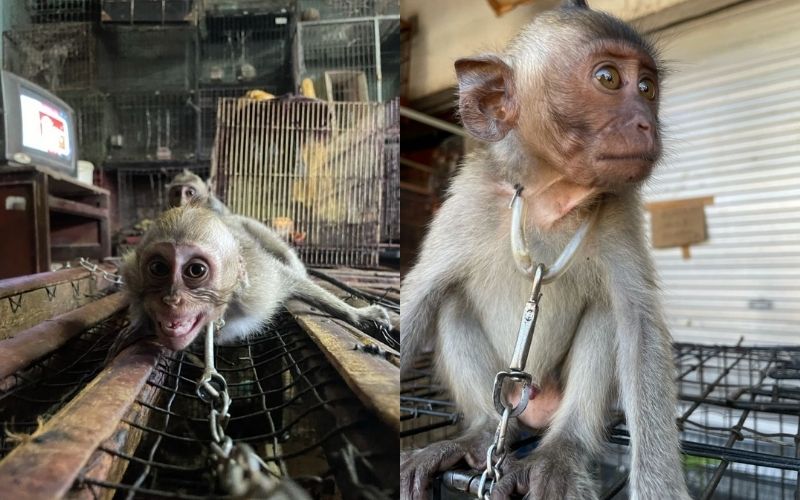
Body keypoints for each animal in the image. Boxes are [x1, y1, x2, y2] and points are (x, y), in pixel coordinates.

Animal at [109, 205, 390, 354]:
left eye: (196, 270)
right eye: (158, 268)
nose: (171, 299)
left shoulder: (260, 285)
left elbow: (290, 279)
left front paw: (358, 315)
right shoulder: (132, 273)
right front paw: (135, 327)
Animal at [404, 0, 692, 500]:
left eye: (647, 87)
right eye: (608, 78)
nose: (647, 123)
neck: (552, 198)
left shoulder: (620, 211)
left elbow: (638, 324)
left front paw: (660, 487)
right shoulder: (470, 201)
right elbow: (418, 297)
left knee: (606, 313)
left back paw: (562, 447)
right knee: (452, 302)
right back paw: (481, 432)